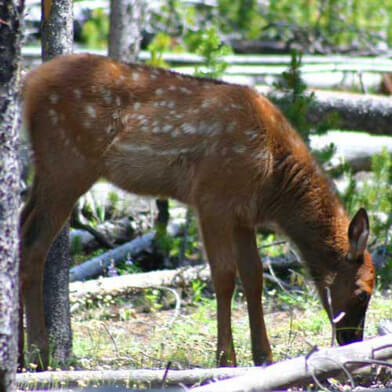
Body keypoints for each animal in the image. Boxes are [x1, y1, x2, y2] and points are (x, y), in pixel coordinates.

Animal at [19, 54, 376, 368]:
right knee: (34, 244)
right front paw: (226, 358)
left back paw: (22, 355)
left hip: (50, 170)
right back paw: (39, 355)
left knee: (19, 229)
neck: (274, 181)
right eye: (363, 292)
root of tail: (29, 81)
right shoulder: (212, 198)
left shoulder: (244, 215)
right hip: (68, 163)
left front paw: (264, 356)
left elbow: (254, 275)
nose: (351, 341)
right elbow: (223, 276)